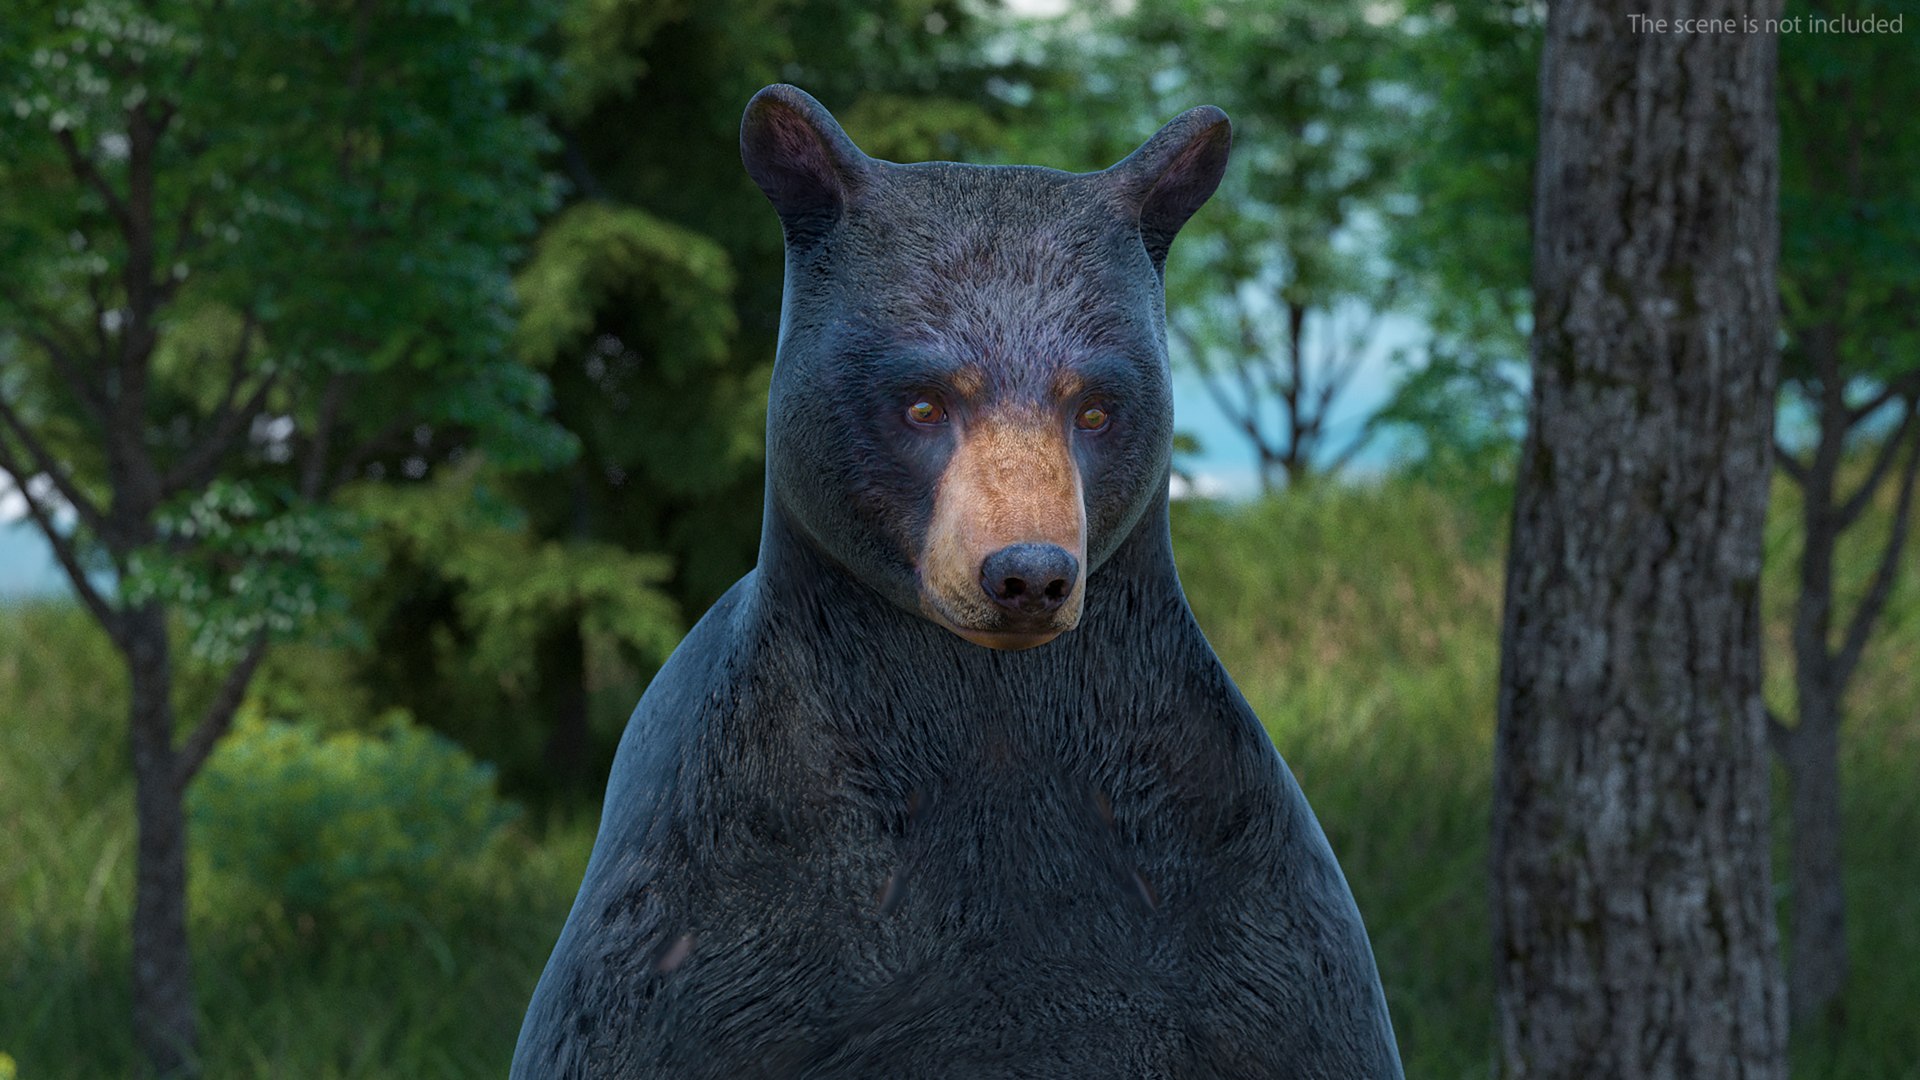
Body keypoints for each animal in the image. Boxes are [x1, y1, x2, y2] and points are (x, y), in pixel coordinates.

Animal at [511, 84, 1404, 1079]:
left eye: (1096, 407)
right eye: (923, 402)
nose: (1027, 575)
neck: (986, 714)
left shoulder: (1229, 875)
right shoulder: (723, 883)